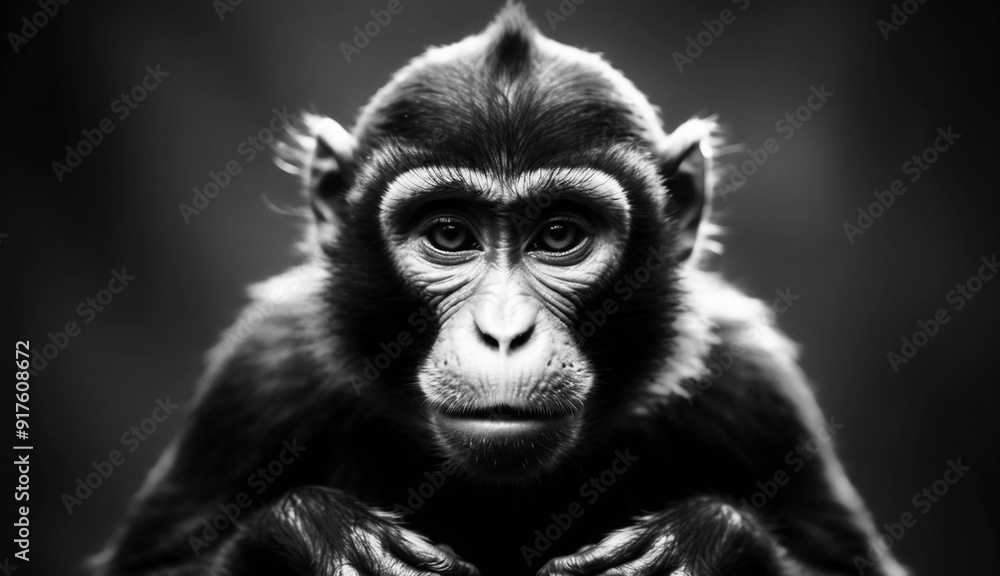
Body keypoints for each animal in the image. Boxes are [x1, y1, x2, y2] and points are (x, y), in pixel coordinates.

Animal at [95, 4, 908, 576]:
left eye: (560, 235)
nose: (504, 331)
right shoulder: (258, 379)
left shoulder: (754, 390)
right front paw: (317, 539)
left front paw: (700, 544)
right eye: (451, 234)